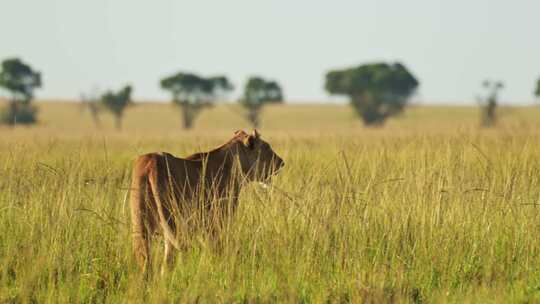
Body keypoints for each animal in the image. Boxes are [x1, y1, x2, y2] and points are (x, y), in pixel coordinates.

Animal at [129, 128, 284, 274]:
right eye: (267, 147)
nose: (282, 162)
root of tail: (151, 164)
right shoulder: (218, 218)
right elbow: (217, 245)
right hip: (172, 218)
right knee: (166, 261)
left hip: (140, 225)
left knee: (146, 261)